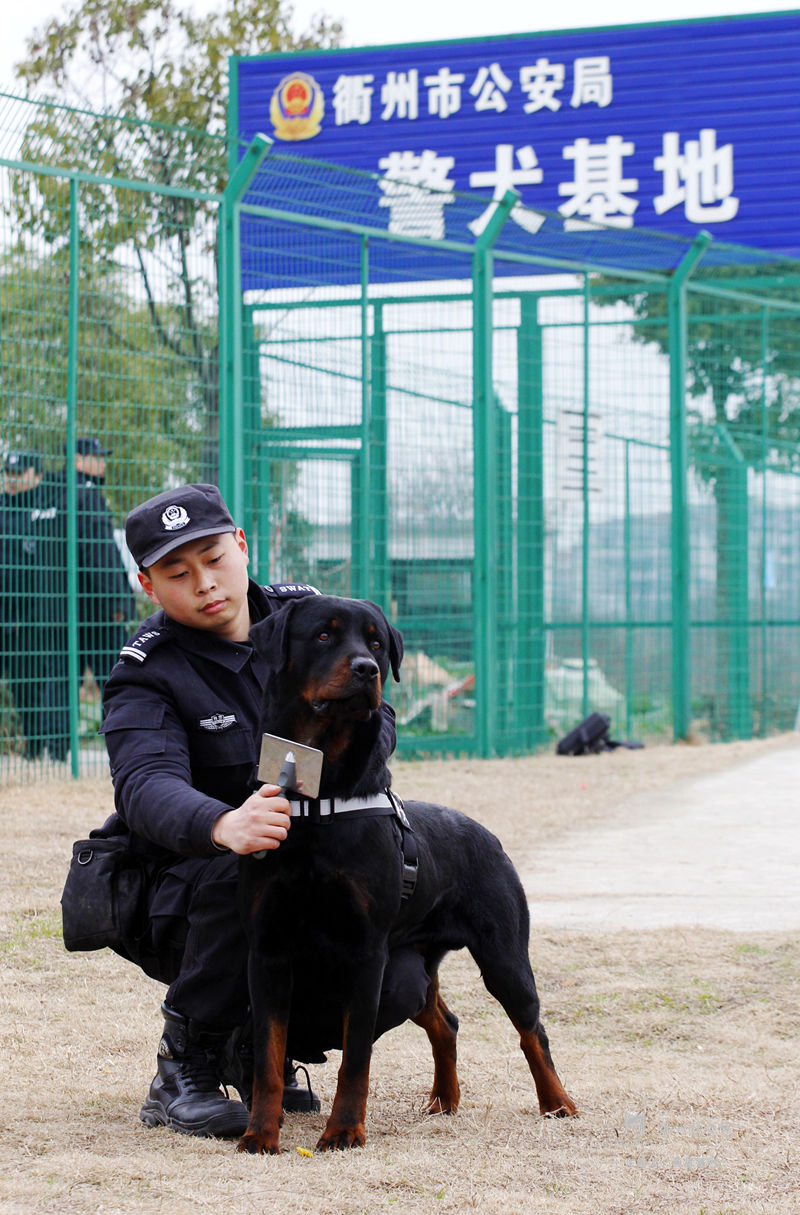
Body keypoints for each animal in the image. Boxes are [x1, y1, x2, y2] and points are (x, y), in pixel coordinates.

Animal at [237, 592, 573, 1151]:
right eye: (324, 635)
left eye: (377, 643)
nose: (366, 669)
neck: (318, 800)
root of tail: (488, 835)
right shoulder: (267, 947)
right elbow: (268, 1055)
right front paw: (259, 1135)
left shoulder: (366, 952)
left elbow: (356, 1056)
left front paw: (344, 1132)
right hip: (416, 959)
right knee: (446, 1021)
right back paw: (443, 1099)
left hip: (502, 955)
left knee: (533, 1030)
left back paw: (557, 1102)